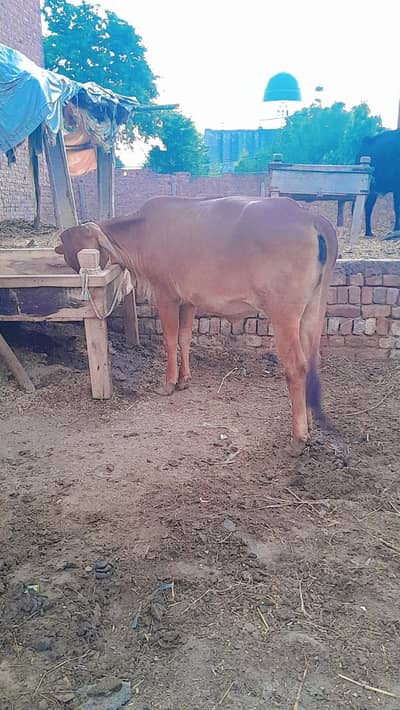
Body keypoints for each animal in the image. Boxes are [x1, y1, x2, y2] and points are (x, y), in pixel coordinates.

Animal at [55, 195, 337, 455]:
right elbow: (184, 338)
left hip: (283, 313)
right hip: (313, 309)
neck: (142, 231)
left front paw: (168, 383)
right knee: (313, 360)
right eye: (70, 257)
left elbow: (170, 340)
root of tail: (309, 216)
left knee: (297, 366)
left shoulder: (165, 295)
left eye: (88, 252)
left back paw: (298, 437)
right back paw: (308, 423)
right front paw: (184, 379)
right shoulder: (189, 301)